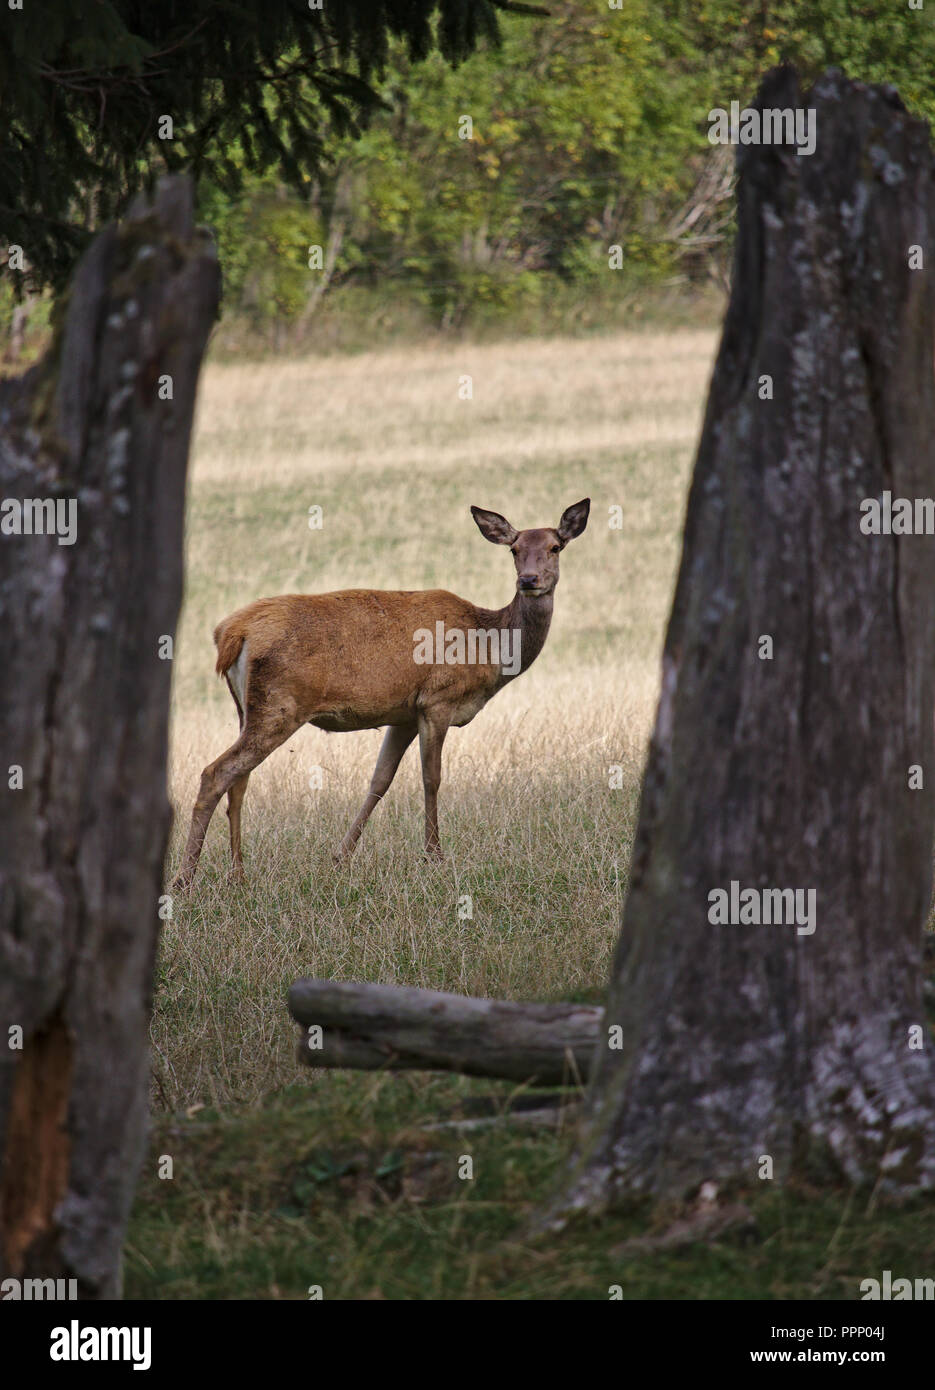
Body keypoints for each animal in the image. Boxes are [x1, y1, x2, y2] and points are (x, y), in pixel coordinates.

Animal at [171, 500, 586, 889]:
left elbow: (380, 781)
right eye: (514, 549)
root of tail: (231, 632)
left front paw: (340, 856)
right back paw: (185, 878)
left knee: (239, 779)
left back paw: (237, 873)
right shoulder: (437, 700)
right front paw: (433, 856)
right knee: (216, 772)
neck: (489, 647)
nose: (529, 580)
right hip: (280, 705)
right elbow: (432, 778)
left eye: (555, 546)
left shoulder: (404, 713)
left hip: (247, 708)